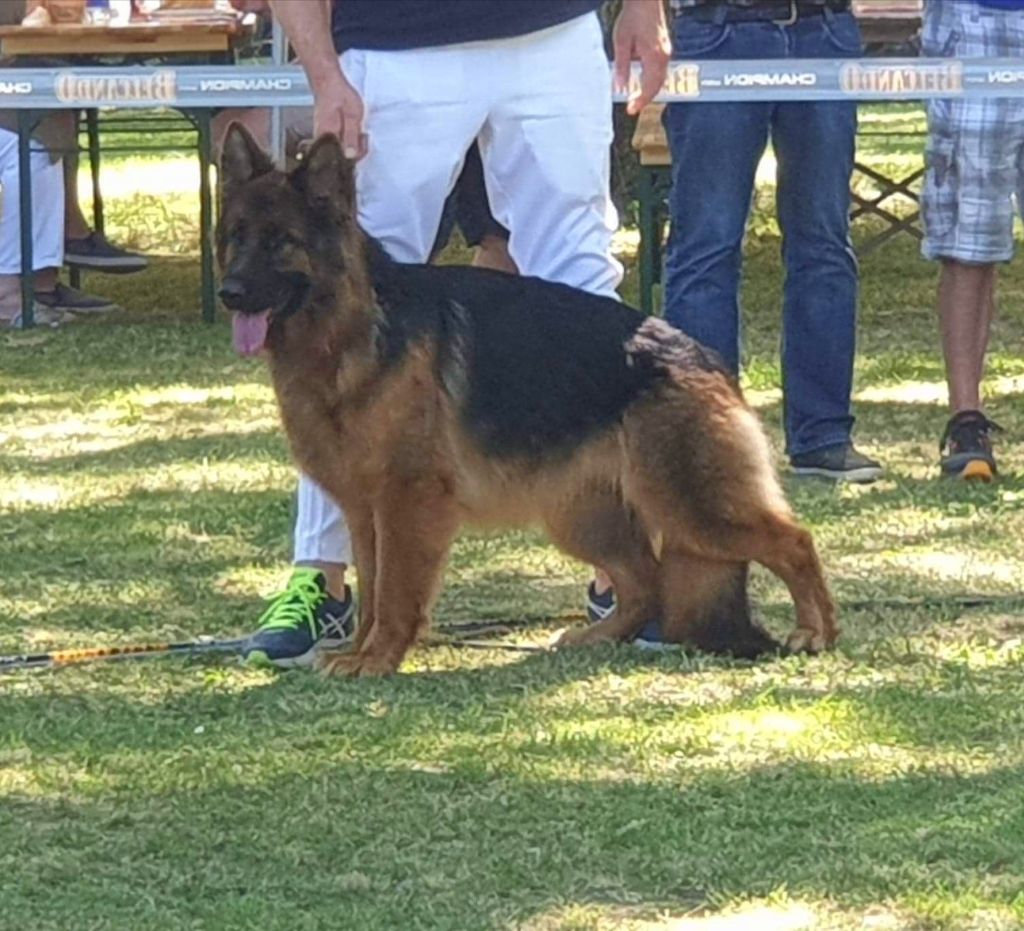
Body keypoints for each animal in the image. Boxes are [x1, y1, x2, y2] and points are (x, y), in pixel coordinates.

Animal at [218, 125, 839, 675]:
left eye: (280, 241)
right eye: (236, 237)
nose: (228, 293)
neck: (352, 327)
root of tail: (704, 357)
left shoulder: (407, 502)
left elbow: (394, 592)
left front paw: (378, 659)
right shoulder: (364, 508)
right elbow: (372, 588)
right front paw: (361, 651)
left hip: (690, 506)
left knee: (793, 541)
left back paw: (816, 632)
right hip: (584, 515)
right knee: (646, 582)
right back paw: (598, 636)